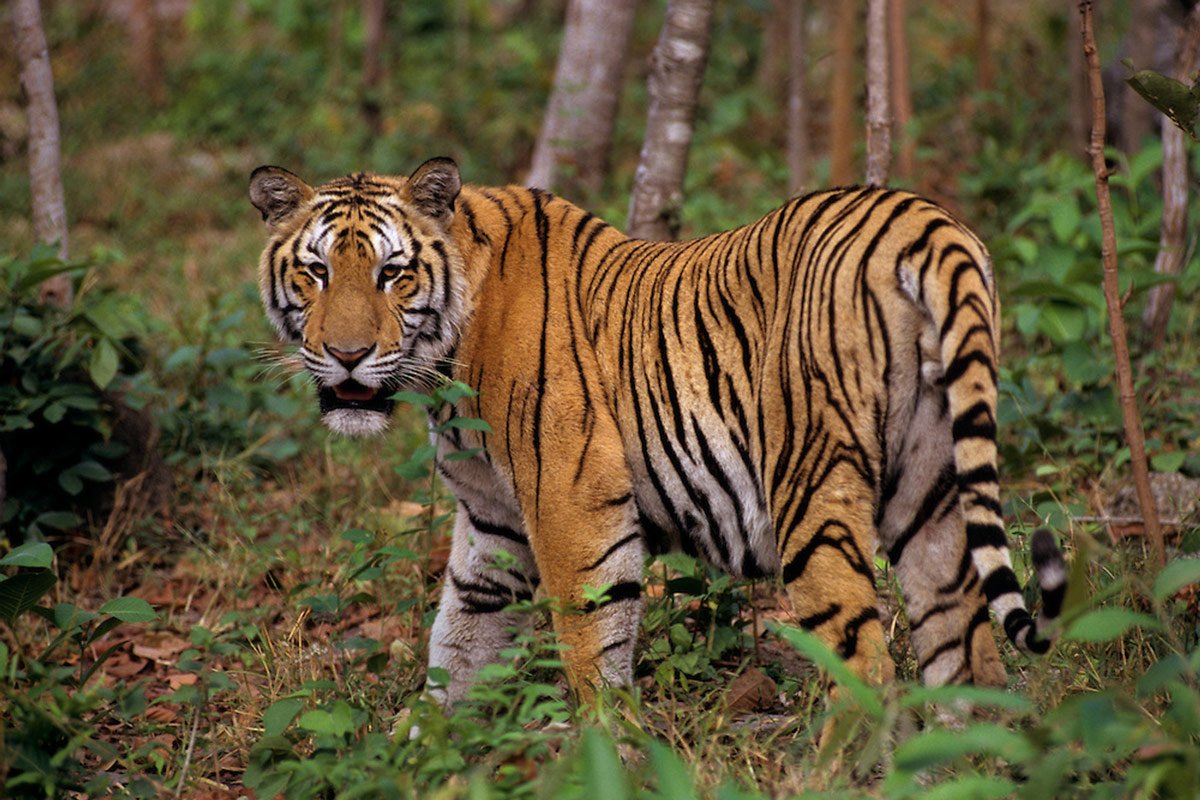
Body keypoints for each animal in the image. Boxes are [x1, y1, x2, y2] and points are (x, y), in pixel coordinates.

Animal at [249, 156, 1067, 705]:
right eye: (317, 272)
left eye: (392, 274)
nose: (347, 354)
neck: (446, 365)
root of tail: (923, 220)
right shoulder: (491, 521)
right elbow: (459, 641)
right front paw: (425, 753)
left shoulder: (572, 502)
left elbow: (590, 645)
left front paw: (610, 754)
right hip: (932, 491)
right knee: (968, 658)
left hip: (811, 488)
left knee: (867, 668)